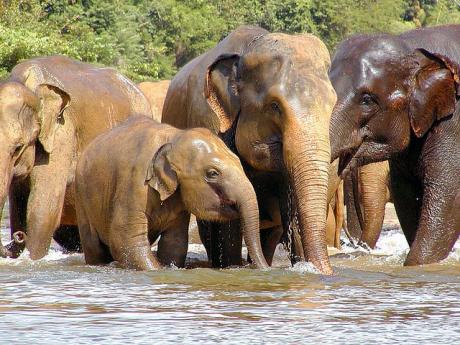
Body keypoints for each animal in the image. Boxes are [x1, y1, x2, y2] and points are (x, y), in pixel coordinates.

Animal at [74, 115, 270, 268]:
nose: (266, 268)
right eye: (212, 173)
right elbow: (126, 240)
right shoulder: (133, 183)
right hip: (82, 201)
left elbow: (174, 243)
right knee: (94, 247)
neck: (174, 137)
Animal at [164, 25, 336, 274]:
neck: (249, 48)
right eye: (275, 106)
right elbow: (229, 228)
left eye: (333, 104)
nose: (325, 272)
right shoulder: (210, 122)